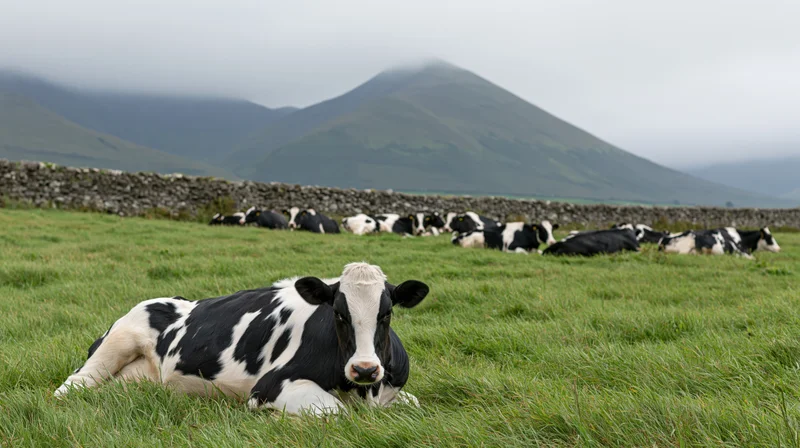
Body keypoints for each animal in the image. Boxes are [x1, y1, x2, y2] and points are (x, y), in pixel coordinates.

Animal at [54, 262, 429, 416]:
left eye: (386, 313)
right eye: (338, 313)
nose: (365, 369)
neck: (364, 392)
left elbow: (415, 403)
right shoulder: (270, 385)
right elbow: (334, 411)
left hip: (134, 381)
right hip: (117, 342)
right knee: (71, 387)